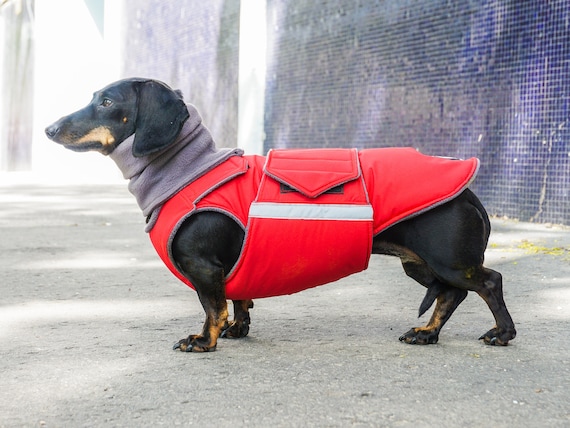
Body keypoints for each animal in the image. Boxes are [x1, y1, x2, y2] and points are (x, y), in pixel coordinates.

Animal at [44, 78, 516, 352]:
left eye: (106, 101)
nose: (48, 129)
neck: (188, 168)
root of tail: (469, 190)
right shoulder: (233, 267)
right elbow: (237, 299)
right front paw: (238, 329)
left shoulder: (204, 267)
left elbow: (211, 307)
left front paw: (204, 340)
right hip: (419, 264)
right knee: (451, 295)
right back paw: (427, 333)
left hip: (448, 260)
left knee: (488, 282)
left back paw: (502, 334)